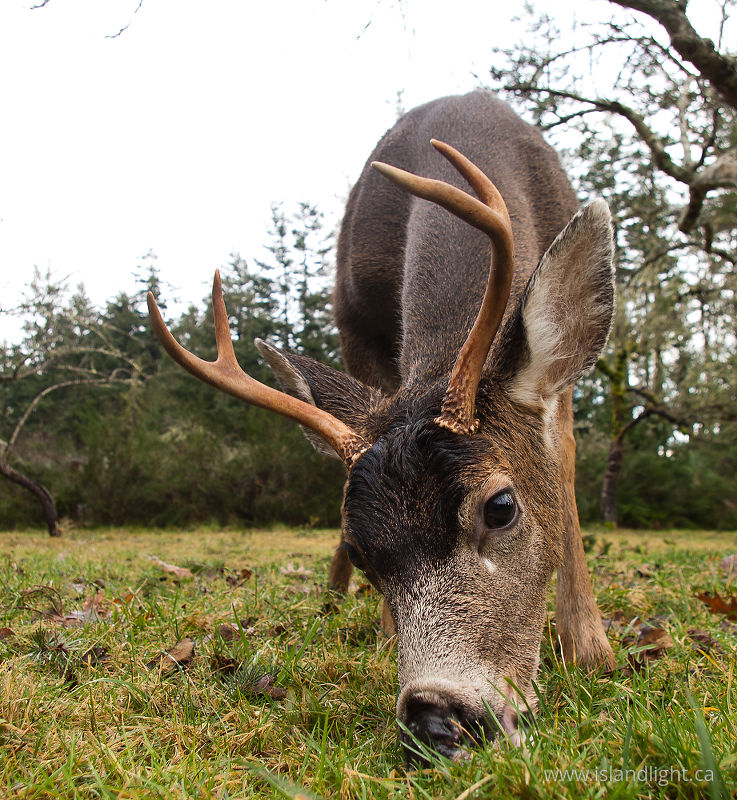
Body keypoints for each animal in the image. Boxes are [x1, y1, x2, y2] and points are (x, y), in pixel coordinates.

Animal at [148, 91, 616, 764]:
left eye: (501, 507)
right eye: (362, 550)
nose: (439, 719)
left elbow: (564, 457)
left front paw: (590, 649)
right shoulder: (355, 327)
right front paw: (383, 636)